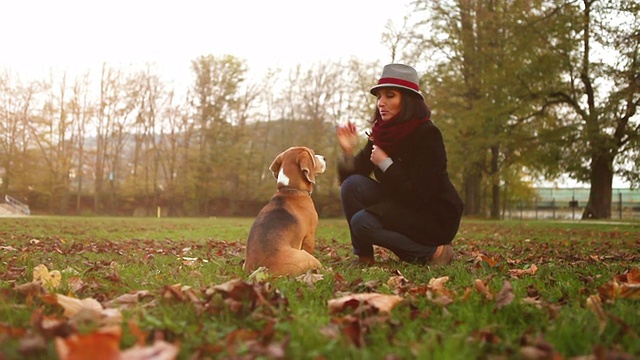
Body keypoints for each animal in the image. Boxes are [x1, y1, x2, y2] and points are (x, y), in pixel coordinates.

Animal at [244, 146, 328, 276]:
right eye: (313, 154)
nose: (324, 158)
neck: (290, 189)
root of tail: (261, 269)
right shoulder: (310, 236)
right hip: (307, 257)